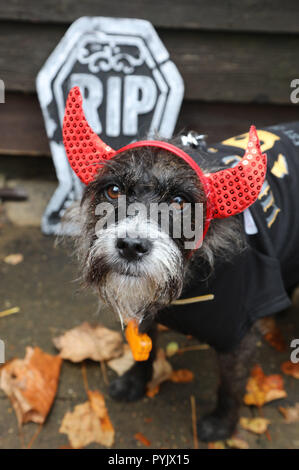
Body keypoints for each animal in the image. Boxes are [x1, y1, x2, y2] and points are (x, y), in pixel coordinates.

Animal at [62, 87, 299, 440]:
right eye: (114, 190)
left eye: (178, 201)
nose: (131, 246)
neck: (188, 279)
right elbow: (144, 348)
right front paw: (136, 382)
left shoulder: (237, 336)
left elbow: (231, 386)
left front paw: (221, 424)